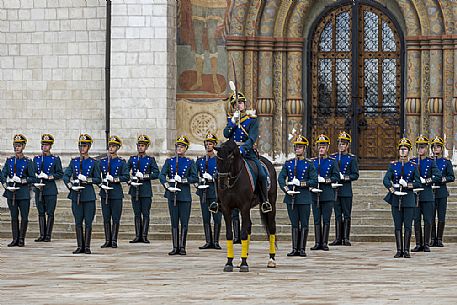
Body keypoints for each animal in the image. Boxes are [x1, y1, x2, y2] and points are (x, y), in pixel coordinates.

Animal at [213, 138, 276, 270]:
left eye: (230, 159)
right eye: (217, 159)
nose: (222, 184)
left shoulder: (244, 206)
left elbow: (242, 234)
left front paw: (244, 264)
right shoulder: (226, 208)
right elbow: (230, 234)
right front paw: (229, 262)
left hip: (271, 202)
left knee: (272, 227)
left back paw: (272, 259)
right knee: (249, 226)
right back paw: (244, 256)